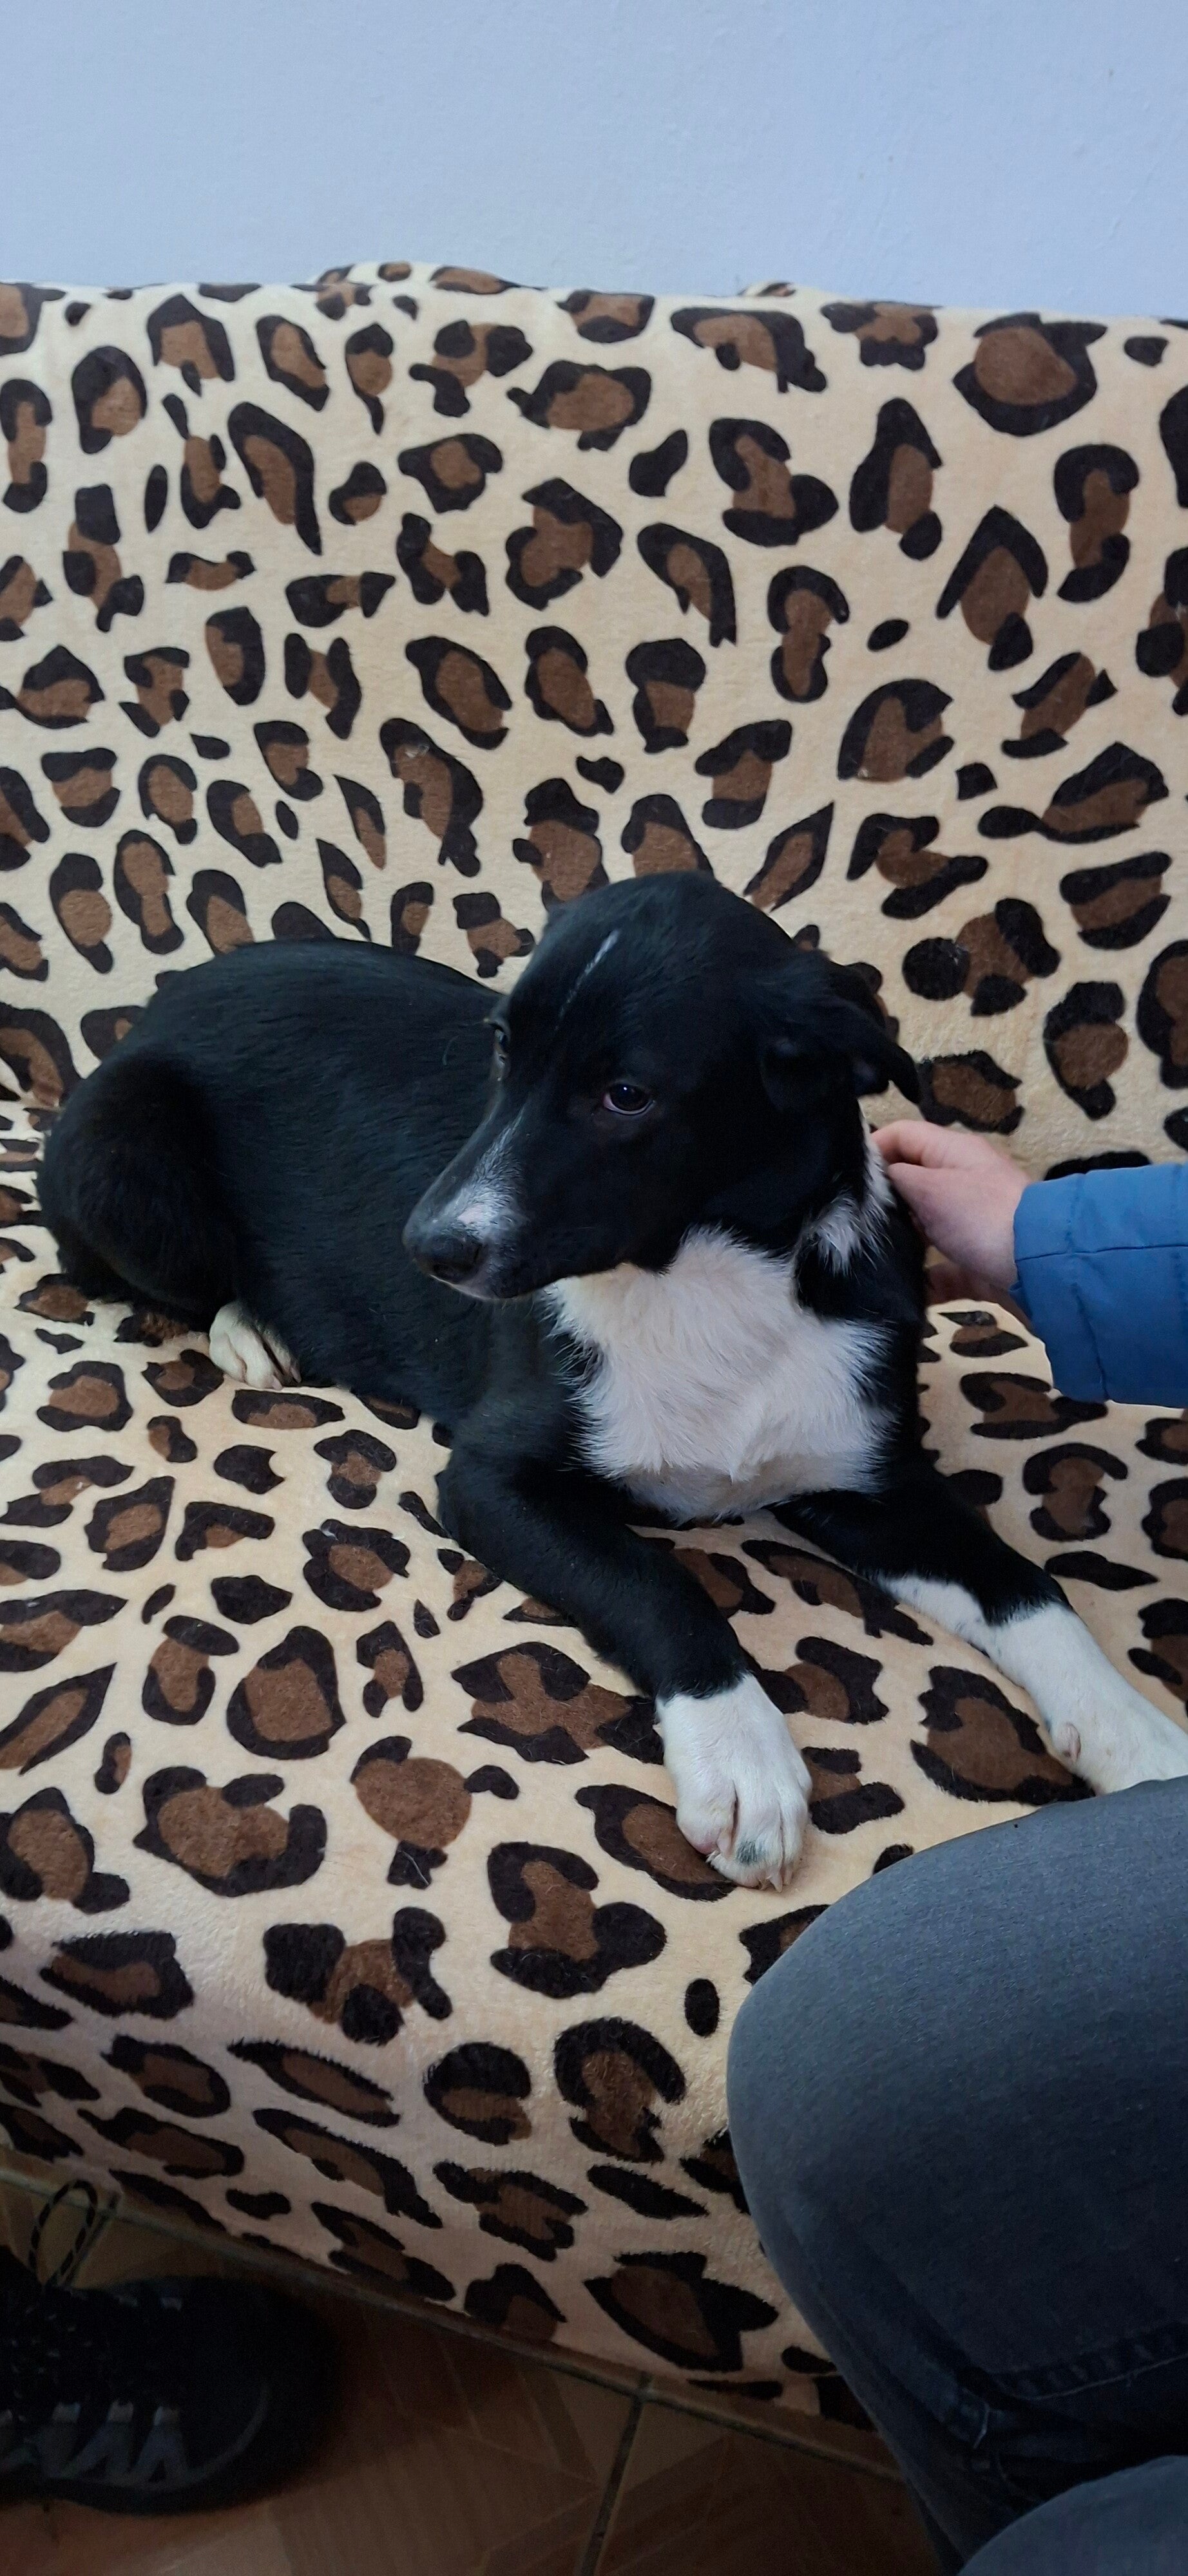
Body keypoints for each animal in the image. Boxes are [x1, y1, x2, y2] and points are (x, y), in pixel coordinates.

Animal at [41, 872, 1188, 1886]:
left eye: (625, 1095)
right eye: (503, 1049)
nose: (426, 1247)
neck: (701, 1277)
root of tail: (161, 1000)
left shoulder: (872, 1479)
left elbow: (1028, 1589)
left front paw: (1136, 1735)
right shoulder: (490, 1479)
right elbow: (655, 1581)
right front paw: (741, 1756)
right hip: (116, 1148)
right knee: (136, 1273)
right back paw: (249, 1326)